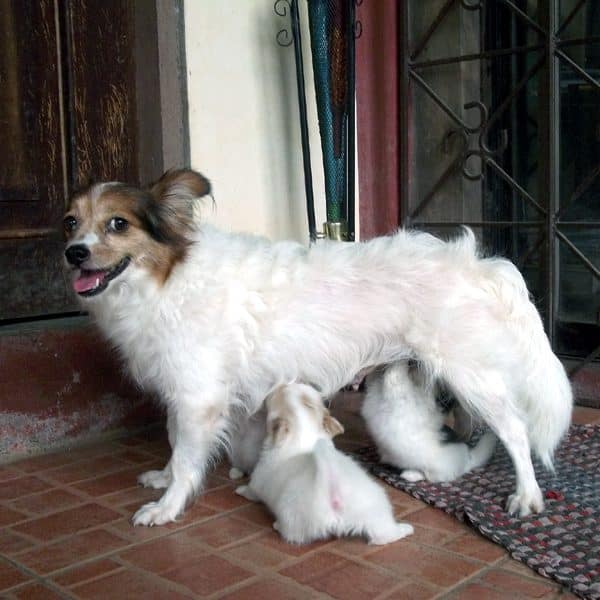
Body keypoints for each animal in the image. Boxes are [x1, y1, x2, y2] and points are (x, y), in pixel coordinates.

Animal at [234, 382, 412, 548]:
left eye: (274, 396)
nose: (281, 384)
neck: (305, 436)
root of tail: (335, 495)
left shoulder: (257, 481)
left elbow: (251, 491)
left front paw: (240, 490)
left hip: (293, 516)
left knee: (293, 534)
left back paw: (278, 525)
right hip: (376, 508)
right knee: (383, 535)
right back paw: (404, 530)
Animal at [360, 360, 496, 482]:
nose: (415, 362)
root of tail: (468, 459)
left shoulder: (398, 389)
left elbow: (394, 373)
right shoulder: (375, 385)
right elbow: (374, 377)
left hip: (434, 469)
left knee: (429, 476)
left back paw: (410, 475)